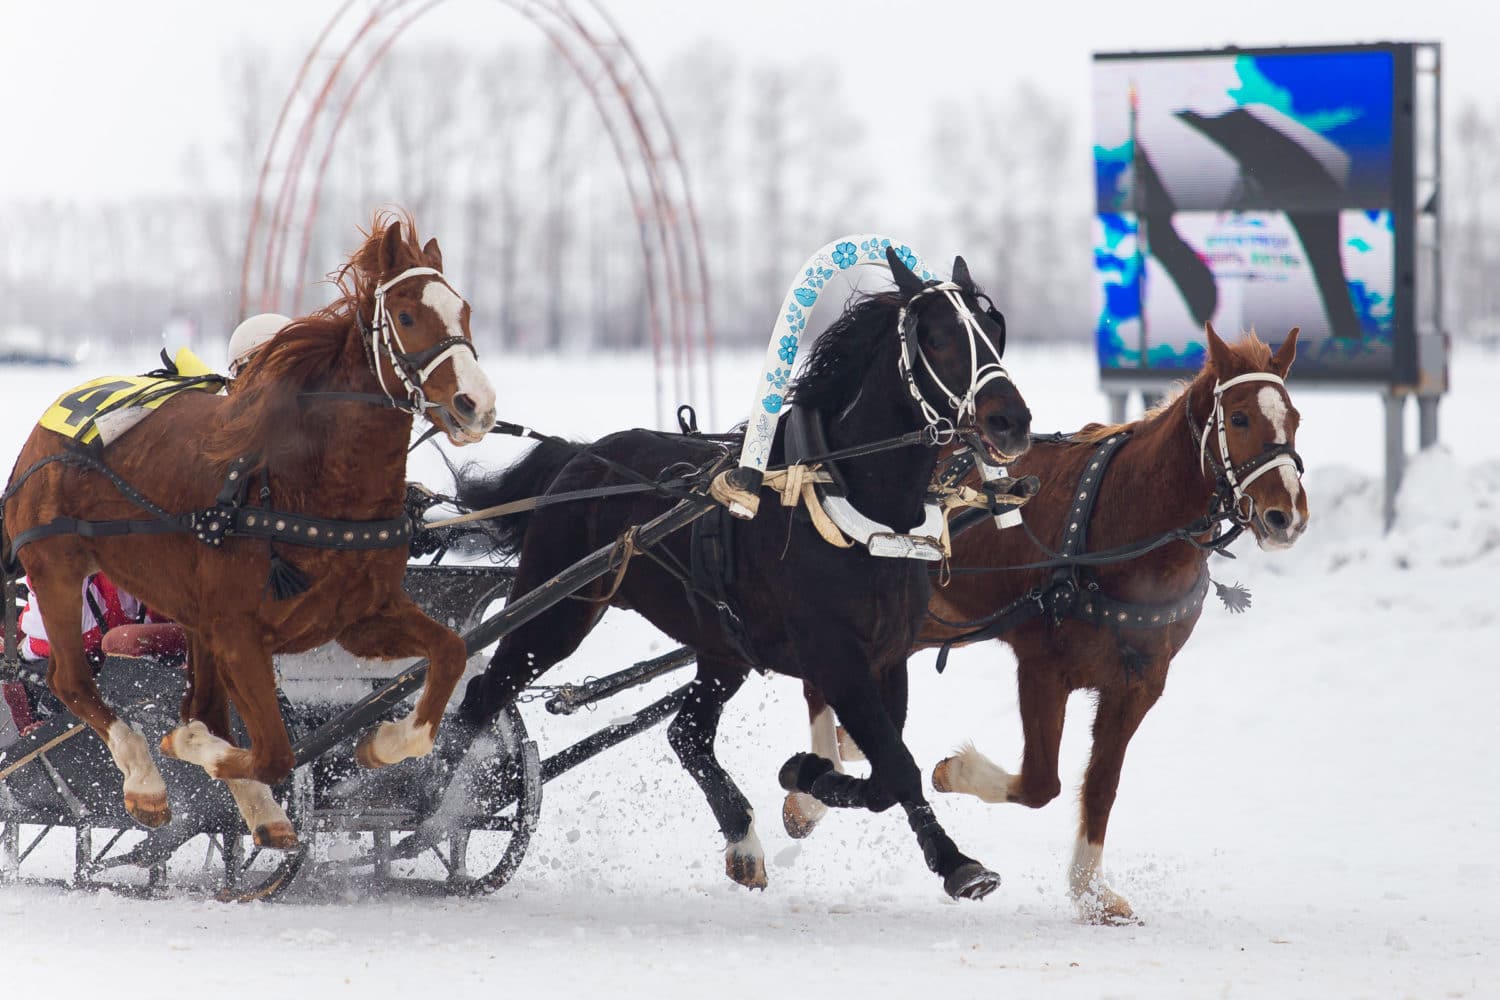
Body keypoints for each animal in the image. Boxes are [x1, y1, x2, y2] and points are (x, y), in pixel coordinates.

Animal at [2, 212, 501, 845]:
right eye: (408, 316)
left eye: (465, 311)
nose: (476, 404)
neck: (304, 485)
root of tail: (41, 435)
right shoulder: (239, 634)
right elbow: (274, 752)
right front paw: (191, 747)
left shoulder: (361, 618)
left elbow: (451, 651)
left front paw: (384, 743)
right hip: (57, 568)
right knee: (72, 680)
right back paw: (145, 780)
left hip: (189, 616)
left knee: (202, 703)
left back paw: (255, 805)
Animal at [453, 248, 1032, 899]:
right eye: (936, 336)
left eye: (994, 330)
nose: (1012, 420)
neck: (849, 499)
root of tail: (580, 457)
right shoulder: (836, 656)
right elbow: (896, 767)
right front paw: (949, 859)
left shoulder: (887, 657)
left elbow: (886, 771)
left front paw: (813, 779)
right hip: (554, 614)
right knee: (482, 697)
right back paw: (431, 804)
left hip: (721, 646)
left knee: (687, 732)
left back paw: (741, 838)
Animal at [792, 326, 1308, 923]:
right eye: (1240, 418)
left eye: (1295, 419)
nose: (1287, 516)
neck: (1124, 525)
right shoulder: (1042, 668)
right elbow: (1041, 782)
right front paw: (954, 771)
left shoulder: (1139, 683)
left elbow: (1101, 784)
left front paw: (1091, 892)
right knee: (821, 682)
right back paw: (809, 795)